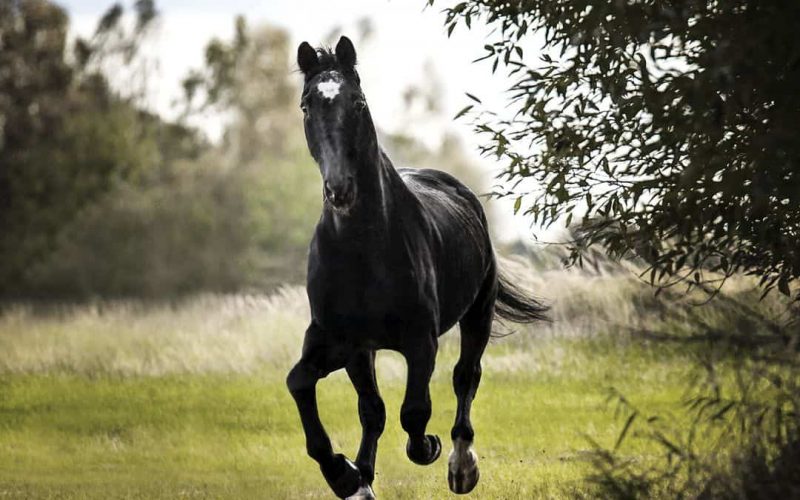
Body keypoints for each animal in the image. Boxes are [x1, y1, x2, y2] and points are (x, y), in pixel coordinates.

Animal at [284, 37, 548, 498]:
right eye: (306, 105)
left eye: (358, 103)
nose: (340, 190)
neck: (362, 249)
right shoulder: (338, 341)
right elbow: (308, 386)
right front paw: (348, 477)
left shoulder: (420, 341)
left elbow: (415, 412)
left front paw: (429, 448)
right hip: (364, 350)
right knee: (372, 409)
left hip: (478, 313)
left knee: (466, 376)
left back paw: (462, 467)